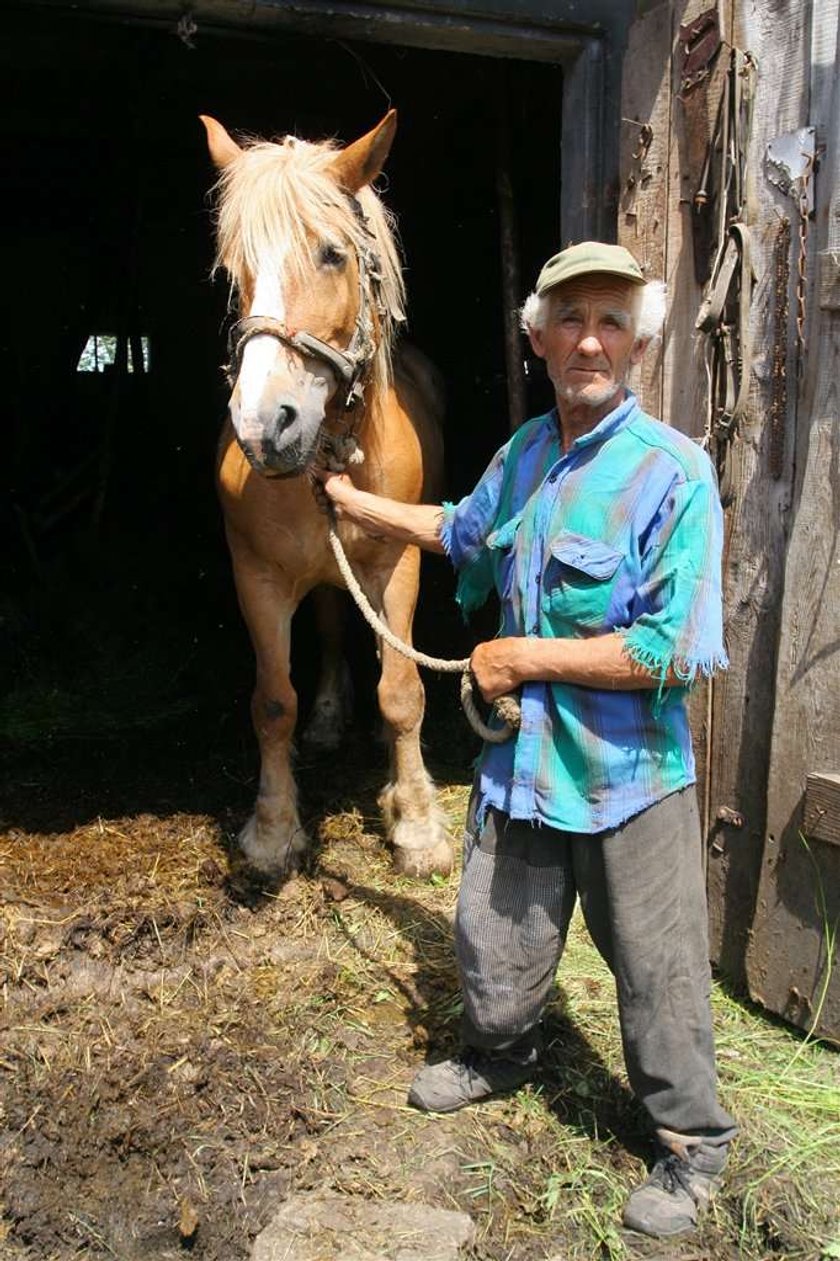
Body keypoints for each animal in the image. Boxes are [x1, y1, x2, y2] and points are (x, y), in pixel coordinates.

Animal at [199, 110, 451, 877]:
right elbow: (271, 703)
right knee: (335, 629)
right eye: (235, 270)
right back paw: (332, 719)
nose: (263, 426)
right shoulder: (256, 576)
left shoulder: (399, 565)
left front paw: (417, 824)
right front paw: (273, 829)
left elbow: (402, 691)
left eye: (333, 254)